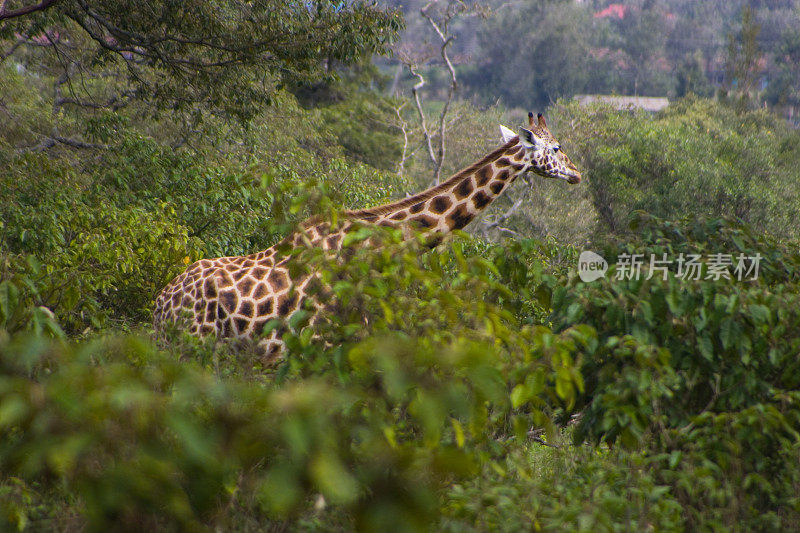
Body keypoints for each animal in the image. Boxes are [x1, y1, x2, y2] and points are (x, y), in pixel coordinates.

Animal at [155, 111, 580, 358]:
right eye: (558, 147)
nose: (577, 173)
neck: (369, 248)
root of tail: (161, 303)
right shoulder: (321, 346)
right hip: (193, 343)